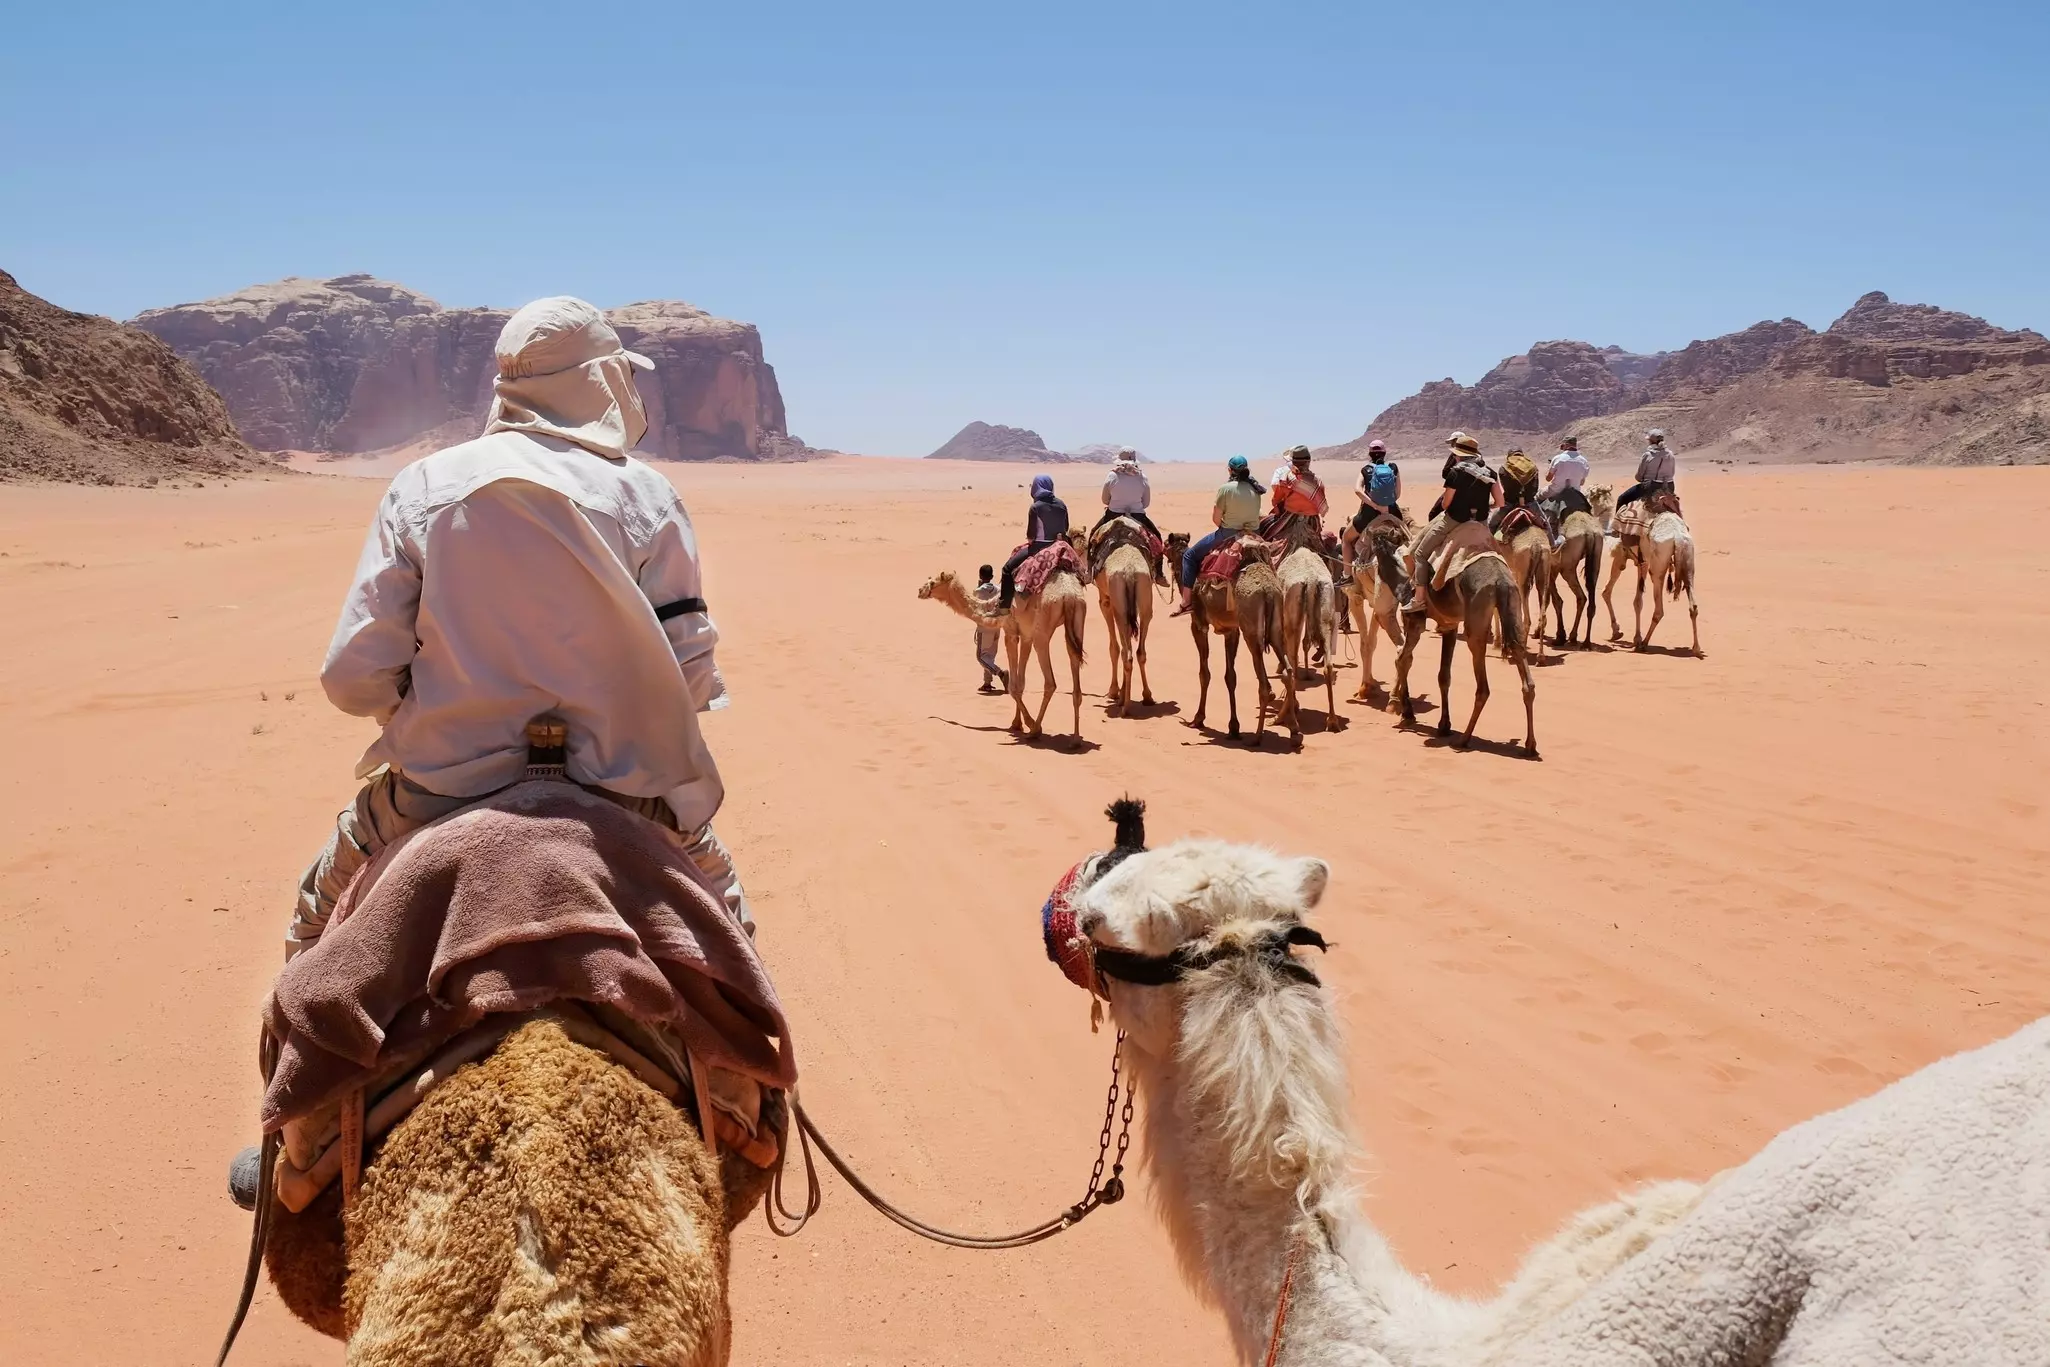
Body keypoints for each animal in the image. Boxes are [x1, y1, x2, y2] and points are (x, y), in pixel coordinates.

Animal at [920, 564, 1088, 741]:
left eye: (933, 582)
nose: (920, 590)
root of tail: (1068, 595)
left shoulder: (1011, 632)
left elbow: (1013, 686)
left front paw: (1028, 724)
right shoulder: (1026, 635)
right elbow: (1021, 683)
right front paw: (1016, 724)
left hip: (1042, 631)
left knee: (1050, 683)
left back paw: (1035, 730)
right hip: (1078, 619)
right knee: (1074, 671)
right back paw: (1075, 740)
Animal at [1166, 531, 1298, 748]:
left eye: (1165, 545)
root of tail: (1268, 591)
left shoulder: (1199, 624)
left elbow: (1204, 673)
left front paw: (1198, 718)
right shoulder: (1231, 630)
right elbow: (1231, 677)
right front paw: (1233, 727)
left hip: (1251, 630)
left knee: (1264, 684)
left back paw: (1257, 737)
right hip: (1276, 626)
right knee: (1288, 671)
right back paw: (1294, 732)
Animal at [1375, 529, 1538, 756]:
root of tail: (1501, 582)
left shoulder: (1414, 620)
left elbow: (1403, 659)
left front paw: (1406, 713)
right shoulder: (1449, 624)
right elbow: (1443, 676)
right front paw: (1444, 725)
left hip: (1475, 623)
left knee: (1483, 687)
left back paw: (1464, 739)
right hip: (1513, 605)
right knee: (1524, 673)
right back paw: (1530, 745)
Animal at [1544, 485, 1610, 649]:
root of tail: (1589, 532)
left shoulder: (1551, 567)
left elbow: (1554, 600)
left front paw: (1559, 636)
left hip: (1567, 568)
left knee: (1578, 597)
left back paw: (1570, 637)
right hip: (1595, 559)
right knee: (1587, 598)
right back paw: (1583, 640)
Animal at [1600, 502, 1701, 657]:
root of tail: (1678, 536)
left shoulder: (1623, 556)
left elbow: (1614, 595)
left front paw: (1624, 633)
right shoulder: (1642, 561)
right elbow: (1635, 600)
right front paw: (1628, 635)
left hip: (1657, 567)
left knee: (1659, 610)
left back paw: (1644, 643)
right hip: (1688, 560)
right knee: (1693, 605)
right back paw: (1696, 648)